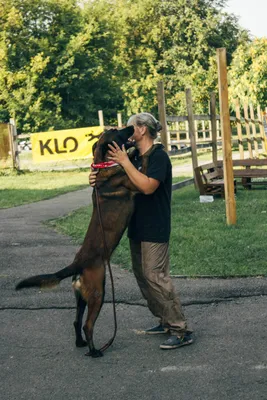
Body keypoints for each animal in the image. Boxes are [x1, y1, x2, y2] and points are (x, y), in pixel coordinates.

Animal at [15, 126, 157, 358]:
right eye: (117, 130)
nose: (131, 128)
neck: (104, 165)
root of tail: (77, 264)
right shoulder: (136, 184)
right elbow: (142, 163)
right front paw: (145, 150)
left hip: (81, 297)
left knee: (75, 322)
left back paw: (81, 343)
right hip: (98, 294)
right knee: (87, 325)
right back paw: (94, 351)